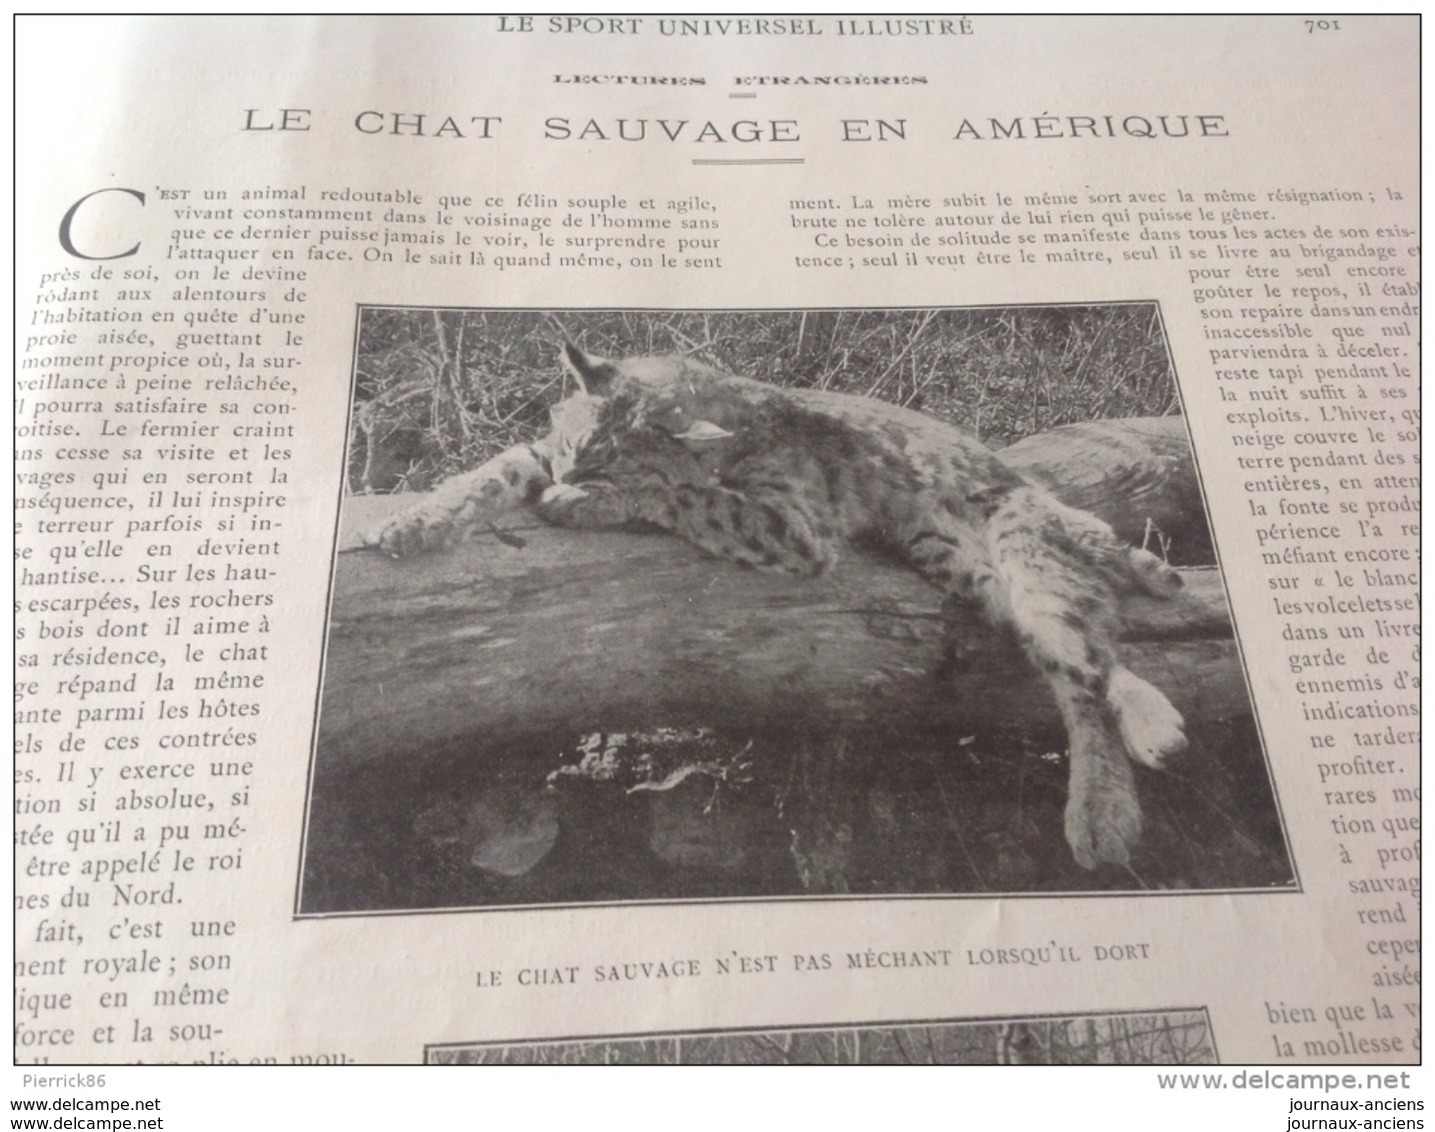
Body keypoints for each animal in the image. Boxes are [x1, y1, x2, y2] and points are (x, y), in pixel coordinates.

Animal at [367, 344, 1188, 866]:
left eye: (606, 463)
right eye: (569, 442)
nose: (569, 476)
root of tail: (1020, 476)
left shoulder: (797, 529)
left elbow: (684, 493)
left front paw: (594, 501)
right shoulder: (536, 452)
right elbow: (488, 471)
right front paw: (415, 522)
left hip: (1022, 545)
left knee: (1081, 667)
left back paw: (1104, 807)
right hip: (949, 555)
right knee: (1083, 650)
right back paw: (1145, 712)